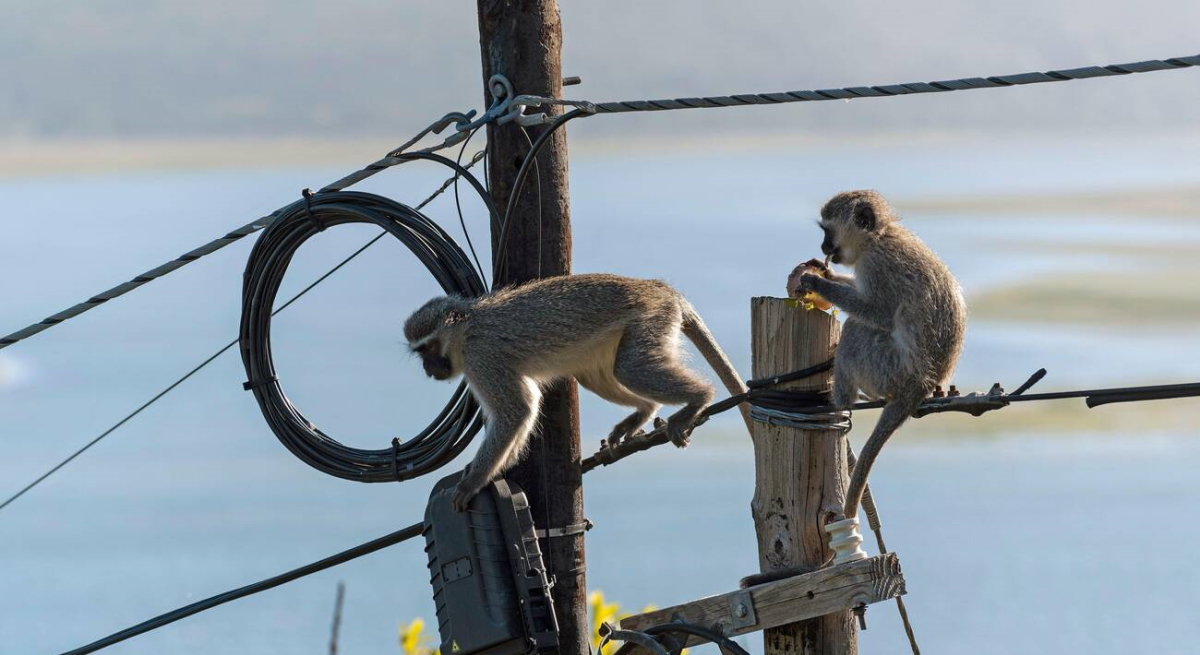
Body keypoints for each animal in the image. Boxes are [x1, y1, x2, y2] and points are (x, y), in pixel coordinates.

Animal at [408, 269, 753, 508]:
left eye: (428, 348)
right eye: (419, 352)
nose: (428, 369)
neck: (467, 329)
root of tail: (657, 286)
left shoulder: (482, 359)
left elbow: (515, 410)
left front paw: (476, 480)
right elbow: (526, 406)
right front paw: (499, 467)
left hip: (651, 318)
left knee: (631, 368)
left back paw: (700, 398)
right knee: (599, 373)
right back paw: (644, 411)